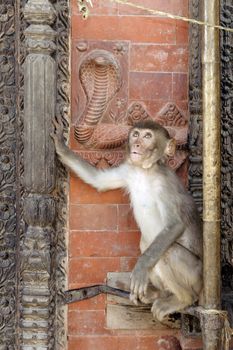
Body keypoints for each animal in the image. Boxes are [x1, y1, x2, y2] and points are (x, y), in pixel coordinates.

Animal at [51, 117, 202, 322]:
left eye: (148, 136)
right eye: (136, 134)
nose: (136, 144)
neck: (146, 171)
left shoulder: (165, 185)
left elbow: (175, 225)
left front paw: (140, 268)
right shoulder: (129, 171)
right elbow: (97, 179)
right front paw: (60, 143)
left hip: (195, 275)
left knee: (167, 251)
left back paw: (183, 299)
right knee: (146, 243)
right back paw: (160, 293)